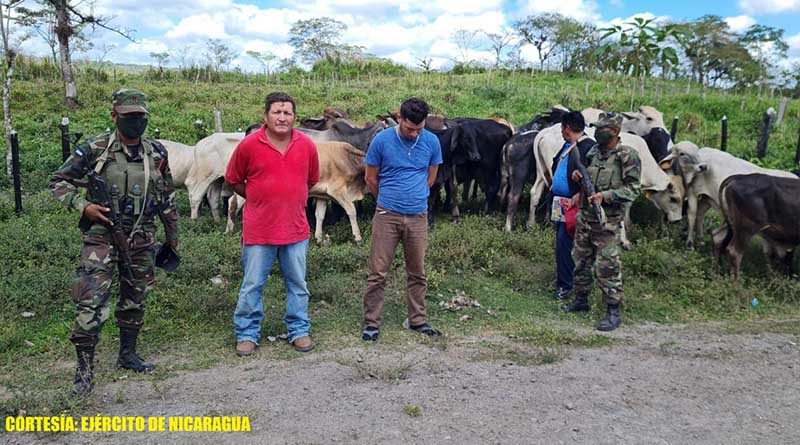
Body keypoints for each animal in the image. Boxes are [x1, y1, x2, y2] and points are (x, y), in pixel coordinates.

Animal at [660, 140, 796, 248]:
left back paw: (701, 240)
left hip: (709, 198)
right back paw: (695, 241)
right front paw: (689, 244)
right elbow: (691, 215)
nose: (702, 166)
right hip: (702, 195)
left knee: (700, 214)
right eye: (682, 153)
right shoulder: (694, 192)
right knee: (696, 215)